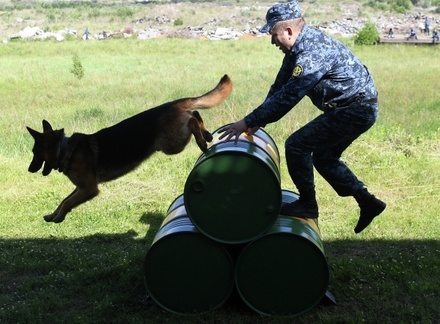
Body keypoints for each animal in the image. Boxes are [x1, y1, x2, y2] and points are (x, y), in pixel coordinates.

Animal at [26, 75, 234, 224]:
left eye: (35, 153)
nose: (29, 169)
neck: (64, 148)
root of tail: (172, 103)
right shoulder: (80, 188)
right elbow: (64, 200)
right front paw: (53, 215)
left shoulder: (89, 188)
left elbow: (68, 201)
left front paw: (58, 217)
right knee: (194, 113)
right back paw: (206, 135)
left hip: (170, 144)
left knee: (192, 118)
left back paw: (202, 139)